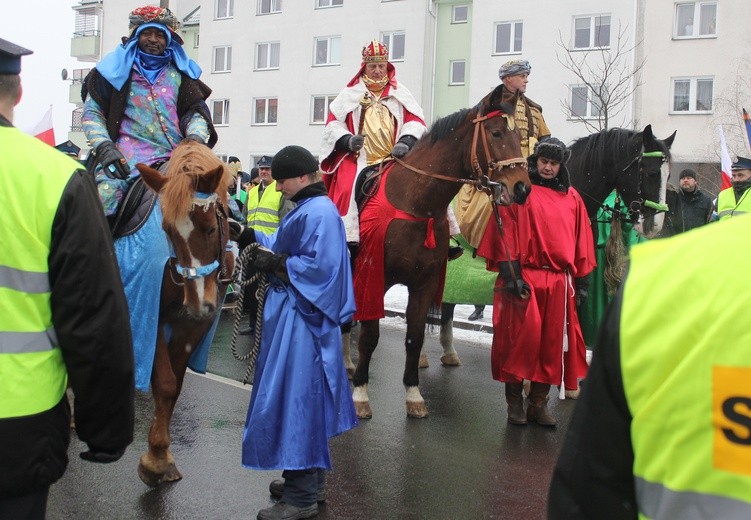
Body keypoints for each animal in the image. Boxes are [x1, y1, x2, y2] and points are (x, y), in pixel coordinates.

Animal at [132, 140, 232, 486]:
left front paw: (161, 454)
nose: (200, 304)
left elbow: (174, 386)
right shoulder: (152, 318)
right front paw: (154, 461)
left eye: (211, 228)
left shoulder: (191, 326)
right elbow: (163, 382)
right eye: (167, 230)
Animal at [350, 85, 532, 418]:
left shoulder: (425, 282)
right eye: (497, 133)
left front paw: (413, 394)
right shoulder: (374, 278)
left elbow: (415, 335)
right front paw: (360, 394)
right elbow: (369, 337)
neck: (415, 202)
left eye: (518, 135)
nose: (522, 188)